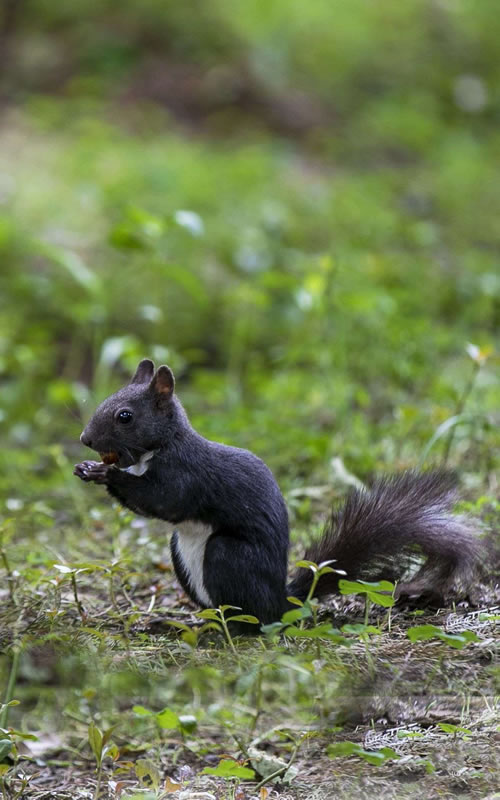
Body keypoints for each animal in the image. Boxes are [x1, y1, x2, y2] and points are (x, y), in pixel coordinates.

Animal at [74, 358, 484, 624]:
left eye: (125, 416)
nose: (85, 440)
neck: (158, 448)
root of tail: (279, 600)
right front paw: (88, 468)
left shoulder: (185, 474)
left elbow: (163, 501)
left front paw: (106, 473)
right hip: (180, 554)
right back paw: (190, 622)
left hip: (227, 555)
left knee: (249, 619)